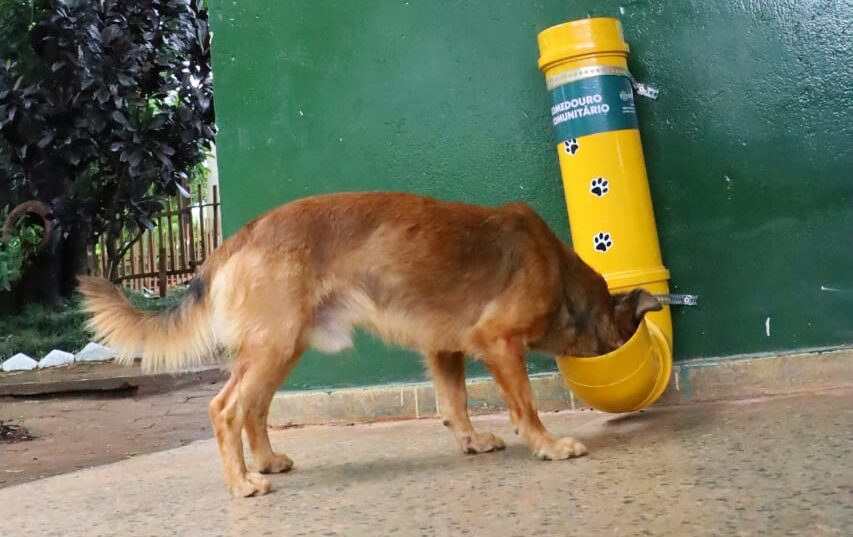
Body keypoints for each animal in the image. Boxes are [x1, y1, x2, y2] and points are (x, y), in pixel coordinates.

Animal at [78, 191, 660, 496]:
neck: (561, 276)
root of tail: (239, 236)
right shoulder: (497, 342)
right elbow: (526, 406)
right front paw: (548, 446)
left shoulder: (443, 349)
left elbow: (455, 403)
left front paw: (471, 441)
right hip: (274, 347)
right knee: (226, 408)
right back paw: (243, 483)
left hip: (282, 348)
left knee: (254, 409)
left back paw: (264, 463)